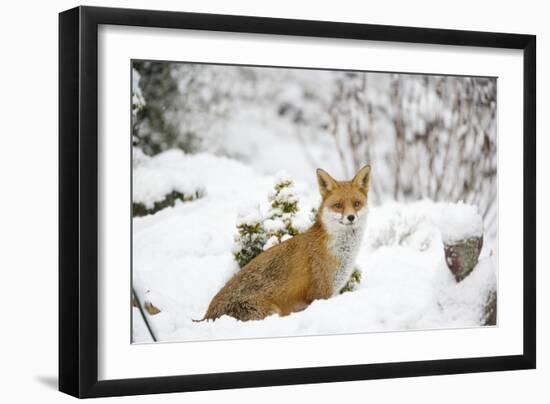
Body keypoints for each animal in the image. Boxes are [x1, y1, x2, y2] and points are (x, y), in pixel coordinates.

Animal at [201, 164, 374, 322]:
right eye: (338, 205)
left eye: (356, 203)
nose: (351, 217)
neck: (341, 253)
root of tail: (205, 317)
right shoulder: (321, 293)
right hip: (271, 311)